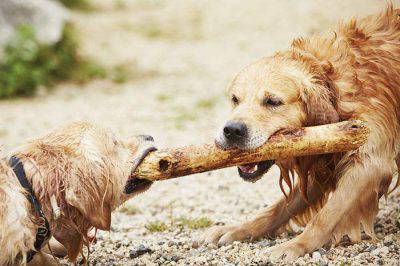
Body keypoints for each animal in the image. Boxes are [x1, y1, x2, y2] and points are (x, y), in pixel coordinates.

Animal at [200, 5, 400, 262]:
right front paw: (241, 229)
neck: (334, 85)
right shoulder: (323, 163)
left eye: (272, 101)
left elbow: (326, 215)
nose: (232, 130)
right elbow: (278, 208)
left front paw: (296, 245)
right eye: (235, 99)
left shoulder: (370, 162)